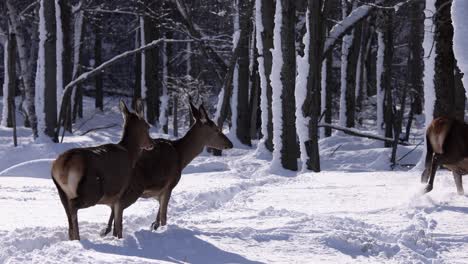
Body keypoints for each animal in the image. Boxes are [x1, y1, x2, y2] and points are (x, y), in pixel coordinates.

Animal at [51, 100, 154, 240]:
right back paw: (78, 237)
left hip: (62, 192)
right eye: (147, 126)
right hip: (92, 190)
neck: (130, 154)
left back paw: (73, 238)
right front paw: (118, 239)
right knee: (73, 207)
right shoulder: (121, 193)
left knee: (68, 213)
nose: (152, 143)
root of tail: (63, 166)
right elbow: (119, 224)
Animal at [100, 100, 232, 236]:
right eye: (216, 129)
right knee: (118, 207)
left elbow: (157, 217)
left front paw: (154, 226)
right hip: (134, 186)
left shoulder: (158, 192)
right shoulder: (169, 185)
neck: (181, 157)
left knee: (113, 210)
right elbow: (163, 216)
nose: (230, 144)